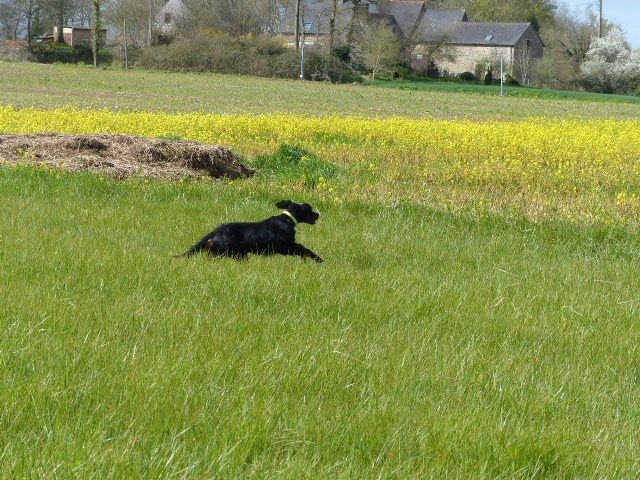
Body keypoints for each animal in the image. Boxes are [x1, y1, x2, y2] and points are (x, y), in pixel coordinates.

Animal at [176, 201, 322, 264]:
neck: (287, 219)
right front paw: (318, 259)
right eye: (310, 209)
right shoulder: (285, 247)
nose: (318, 214)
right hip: (237, 252)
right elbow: (303, 248)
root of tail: (215, 232)